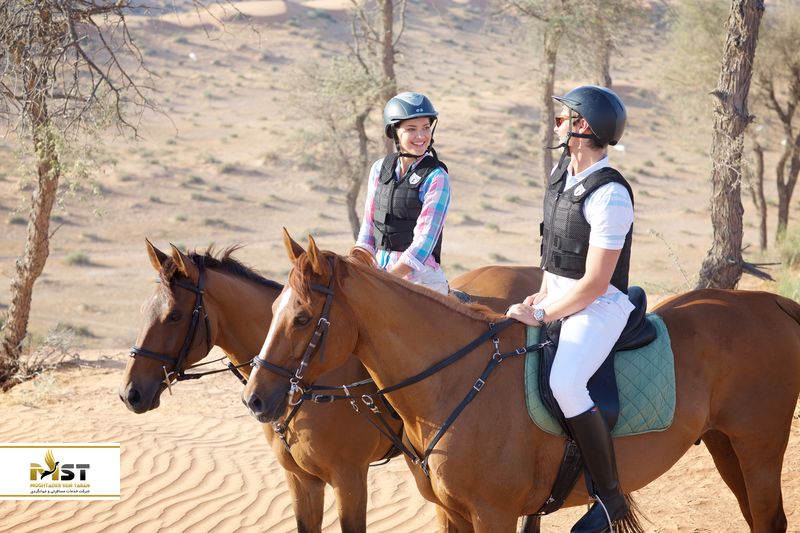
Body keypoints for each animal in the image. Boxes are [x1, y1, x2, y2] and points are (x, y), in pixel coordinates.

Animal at [119, 239, 543, 533]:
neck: (308, 385)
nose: (130, 393)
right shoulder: (301, 480)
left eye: (174, 316)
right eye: (144, 310)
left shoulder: (349, 477)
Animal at [242, 232, 800, 533]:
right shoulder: (453, 513)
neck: (455, 382)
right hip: (726, 445)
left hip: (759, 447)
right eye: (269, 311)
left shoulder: (493, 514)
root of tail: (774, 303)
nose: (255, 399)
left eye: (301, 319)